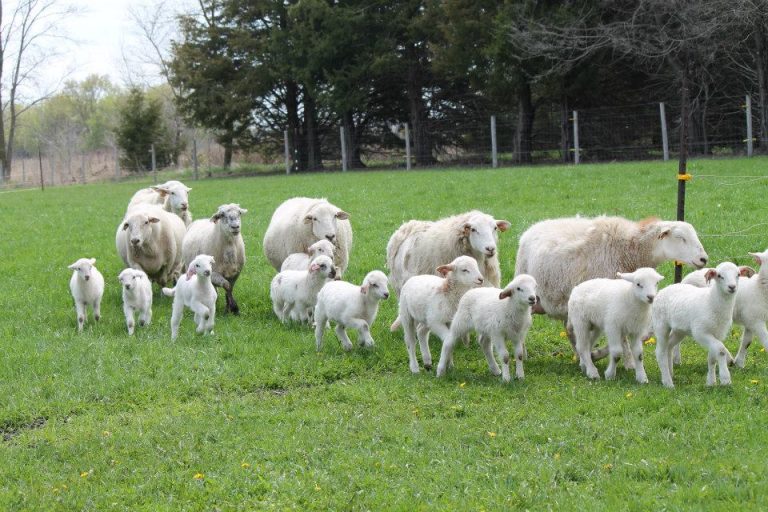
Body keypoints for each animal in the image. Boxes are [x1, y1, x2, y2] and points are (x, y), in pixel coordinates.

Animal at [652, 260, 740, 388]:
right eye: (719, 276)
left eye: (738, 275)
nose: (732, 287)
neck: (711, 301)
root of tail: (663, 290)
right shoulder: (700, 331)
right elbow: (721, 350)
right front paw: (725, 379)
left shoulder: (718, 333)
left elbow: (712, 356)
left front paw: (711, 382)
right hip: (660, 325)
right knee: (660, 352)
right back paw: (668, 382)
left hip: (679, 330)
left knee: (669, 346)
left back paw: (670, 373)